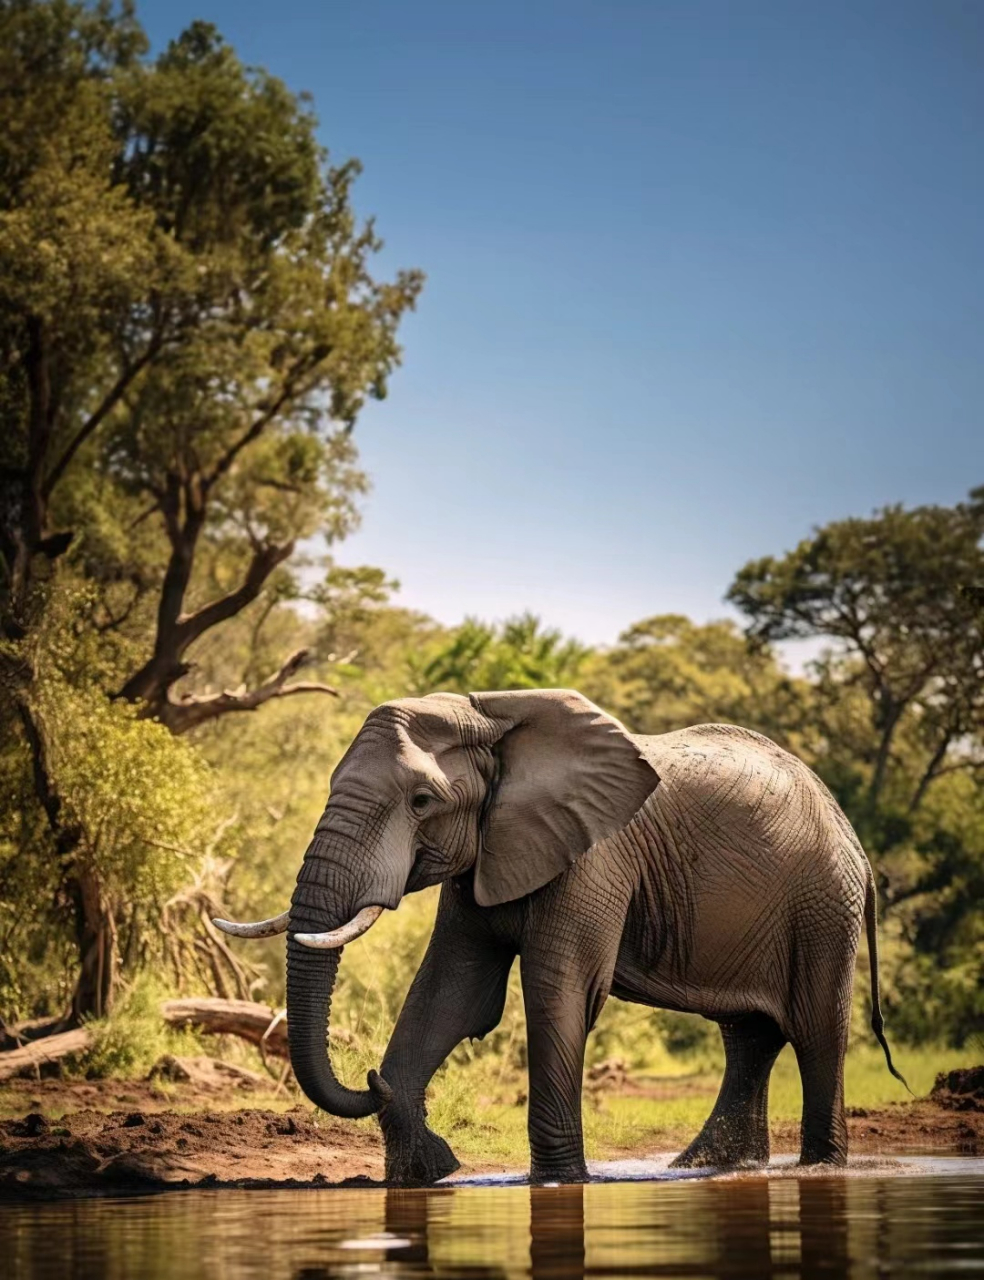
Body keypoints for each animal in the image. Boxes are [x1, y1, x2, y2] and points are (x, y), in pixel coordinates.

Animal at [215, 688, 906, 1185]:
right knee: (749, 1036)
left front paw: (557, 1183)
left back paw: (818, 1168)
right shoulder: (486, 853)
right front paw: (425, 1175)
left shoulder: (596, 855)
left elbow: (559, 990)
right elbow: (450, 992)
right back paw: (710, 1168)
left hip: (824, 904)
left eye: (420, 802)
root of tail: (853, 838)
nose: (369, 1076)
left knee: (814, 1030)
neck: (493, 721)